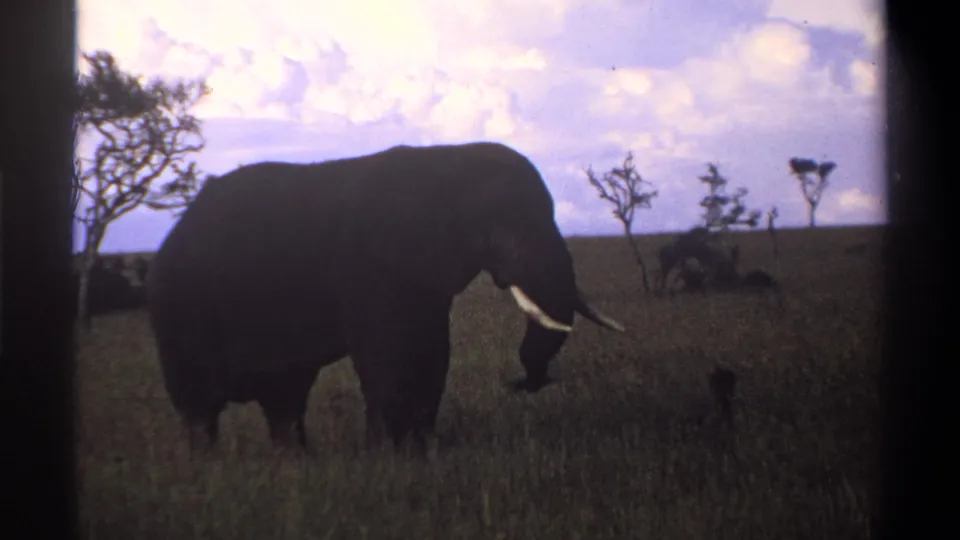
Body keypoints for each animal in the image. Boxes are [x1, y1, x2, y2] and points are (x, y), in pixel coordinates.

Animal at [146, 141, 625, 455]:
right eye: (505, 225)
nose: (521, 382)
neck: (447, 161)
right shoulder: (369, 267)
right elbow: (388, 357)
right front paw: (389, 458)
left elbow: (432, 354)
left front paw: (420, 452)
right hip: (180, 306)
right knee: (200, 402)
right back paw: (209, 467)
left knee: (284, 396)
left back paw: (295, 464)